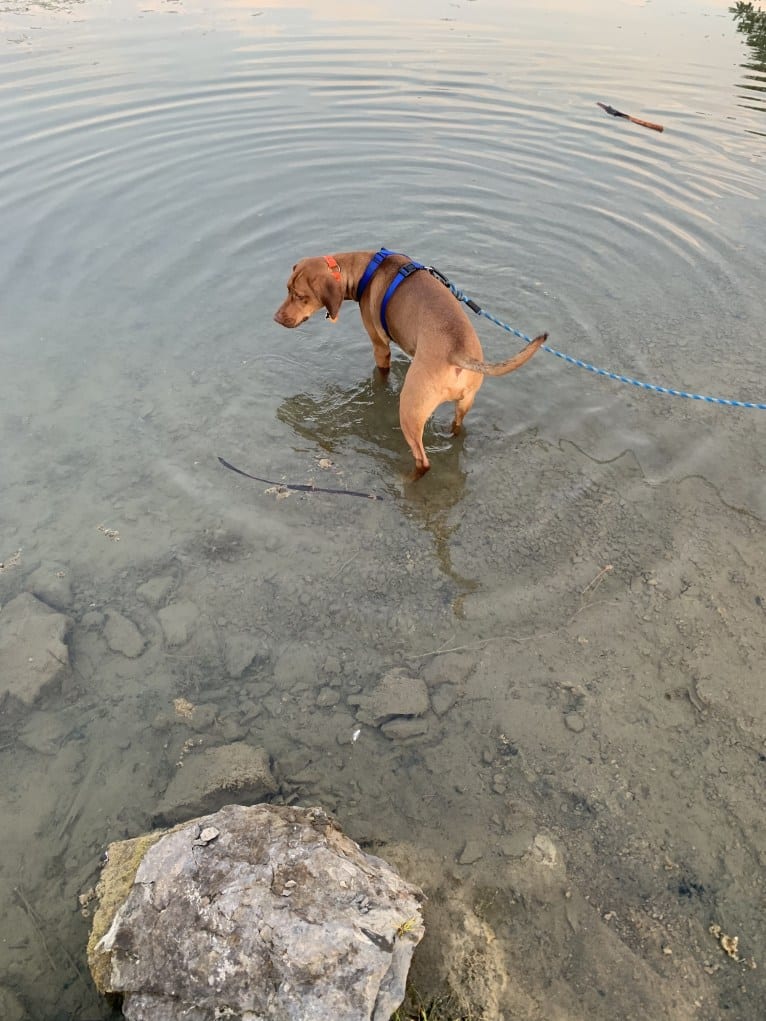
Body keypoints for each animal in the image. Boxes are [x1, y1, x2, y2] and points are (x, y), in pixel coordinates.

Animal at [273, 253, 547, 479]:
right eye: (287, 289)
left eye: (300, 296)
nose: (275, 318)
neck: (366, 270)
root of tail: (458, 353)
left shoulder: (380, 347)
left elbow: (381, 373)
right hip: (464, 403)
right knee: (457, 428)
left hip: (410, 410)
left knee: (423, 461)